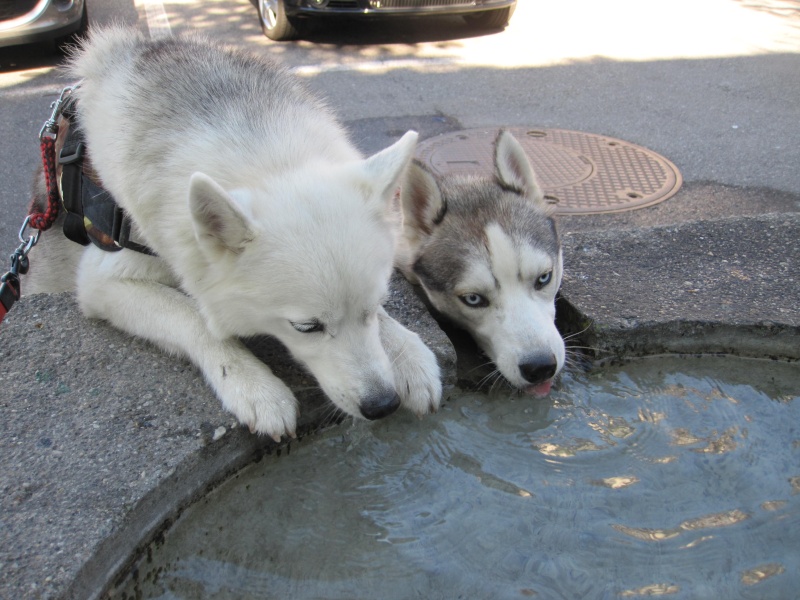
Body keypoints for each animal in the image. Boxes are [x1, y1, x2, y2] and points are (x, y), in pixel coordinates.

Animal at [26, 27, 444, 440]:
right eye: (306, 327)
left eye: (376, 305)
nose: (382, 404)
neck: (269, 160)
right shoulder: (102, 281)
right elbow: (193, 316)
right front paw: (252, 384)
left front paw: (407, 354)